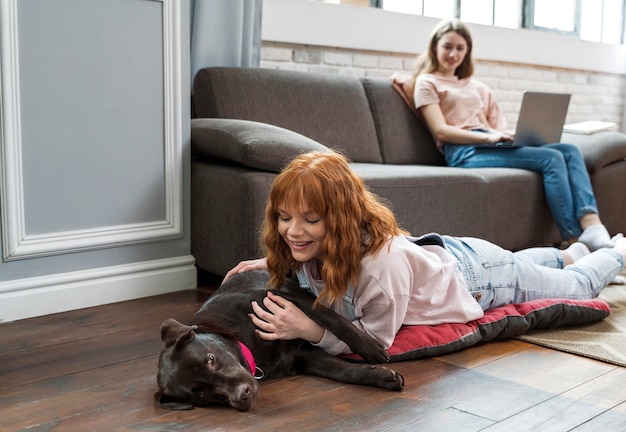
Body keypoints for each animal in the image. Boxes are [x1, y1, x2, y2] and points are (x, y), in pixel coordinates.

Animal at [154, 270, 402, 412]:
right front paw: (381, 377)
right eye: (201, 395)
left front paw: (370, 348)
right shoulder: (306, 358)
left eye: (211, 359)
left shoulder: (283, 299)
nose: (242, 395)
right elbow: (343, 371)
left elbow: (331, 319)